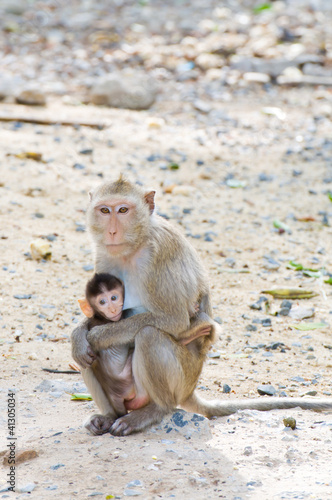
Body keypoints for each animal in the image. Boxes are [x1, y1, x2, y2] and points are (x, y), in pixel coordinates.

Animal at [72, 178, 332, 436]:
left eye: (123, 210)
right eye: (105, 211)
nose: (112, 231)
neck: (135, 246)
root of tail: (190, 390)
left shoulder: (159, 253)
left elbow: (174, 320)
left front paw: (98, 335)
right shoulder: (104, 257)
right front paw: (79, 335)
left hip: (181, 377)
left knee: (149, 335)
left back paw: (155, 411)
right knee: (87, 359)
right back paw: (108, 414)